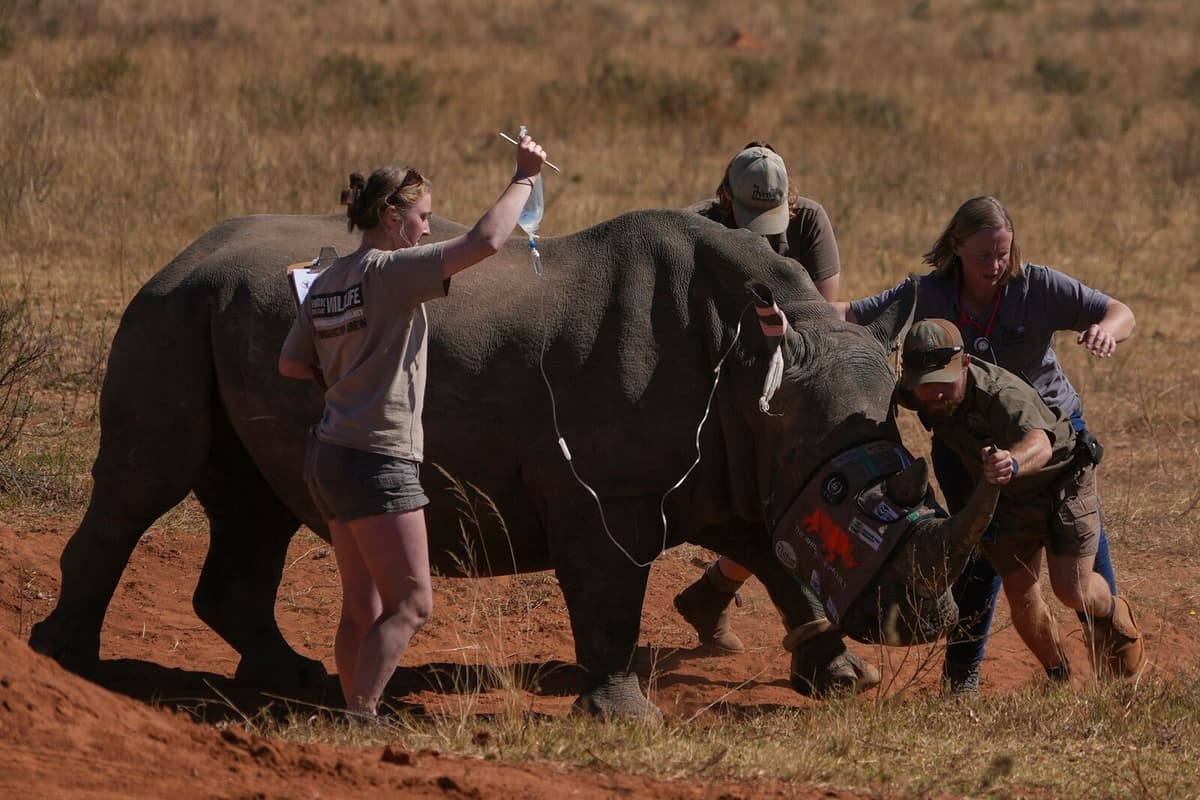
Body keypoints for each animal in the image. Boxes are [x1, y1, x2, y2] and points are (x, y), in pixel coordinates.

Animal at [30, 209, 998, 718]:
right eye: (849, 494)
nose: (925, 624)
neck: (760, 369)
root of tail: (179, 254)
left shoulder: (751, 469)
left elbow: (785, 565)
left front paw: (842, 680)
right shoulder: (612, 490)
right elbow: (610, 590)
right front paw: (624, 718)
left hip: (220, 316)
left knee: (256, 503)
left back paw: (290, 680)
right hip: (169, 312)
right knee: (143, 482)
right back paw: (67, 665)